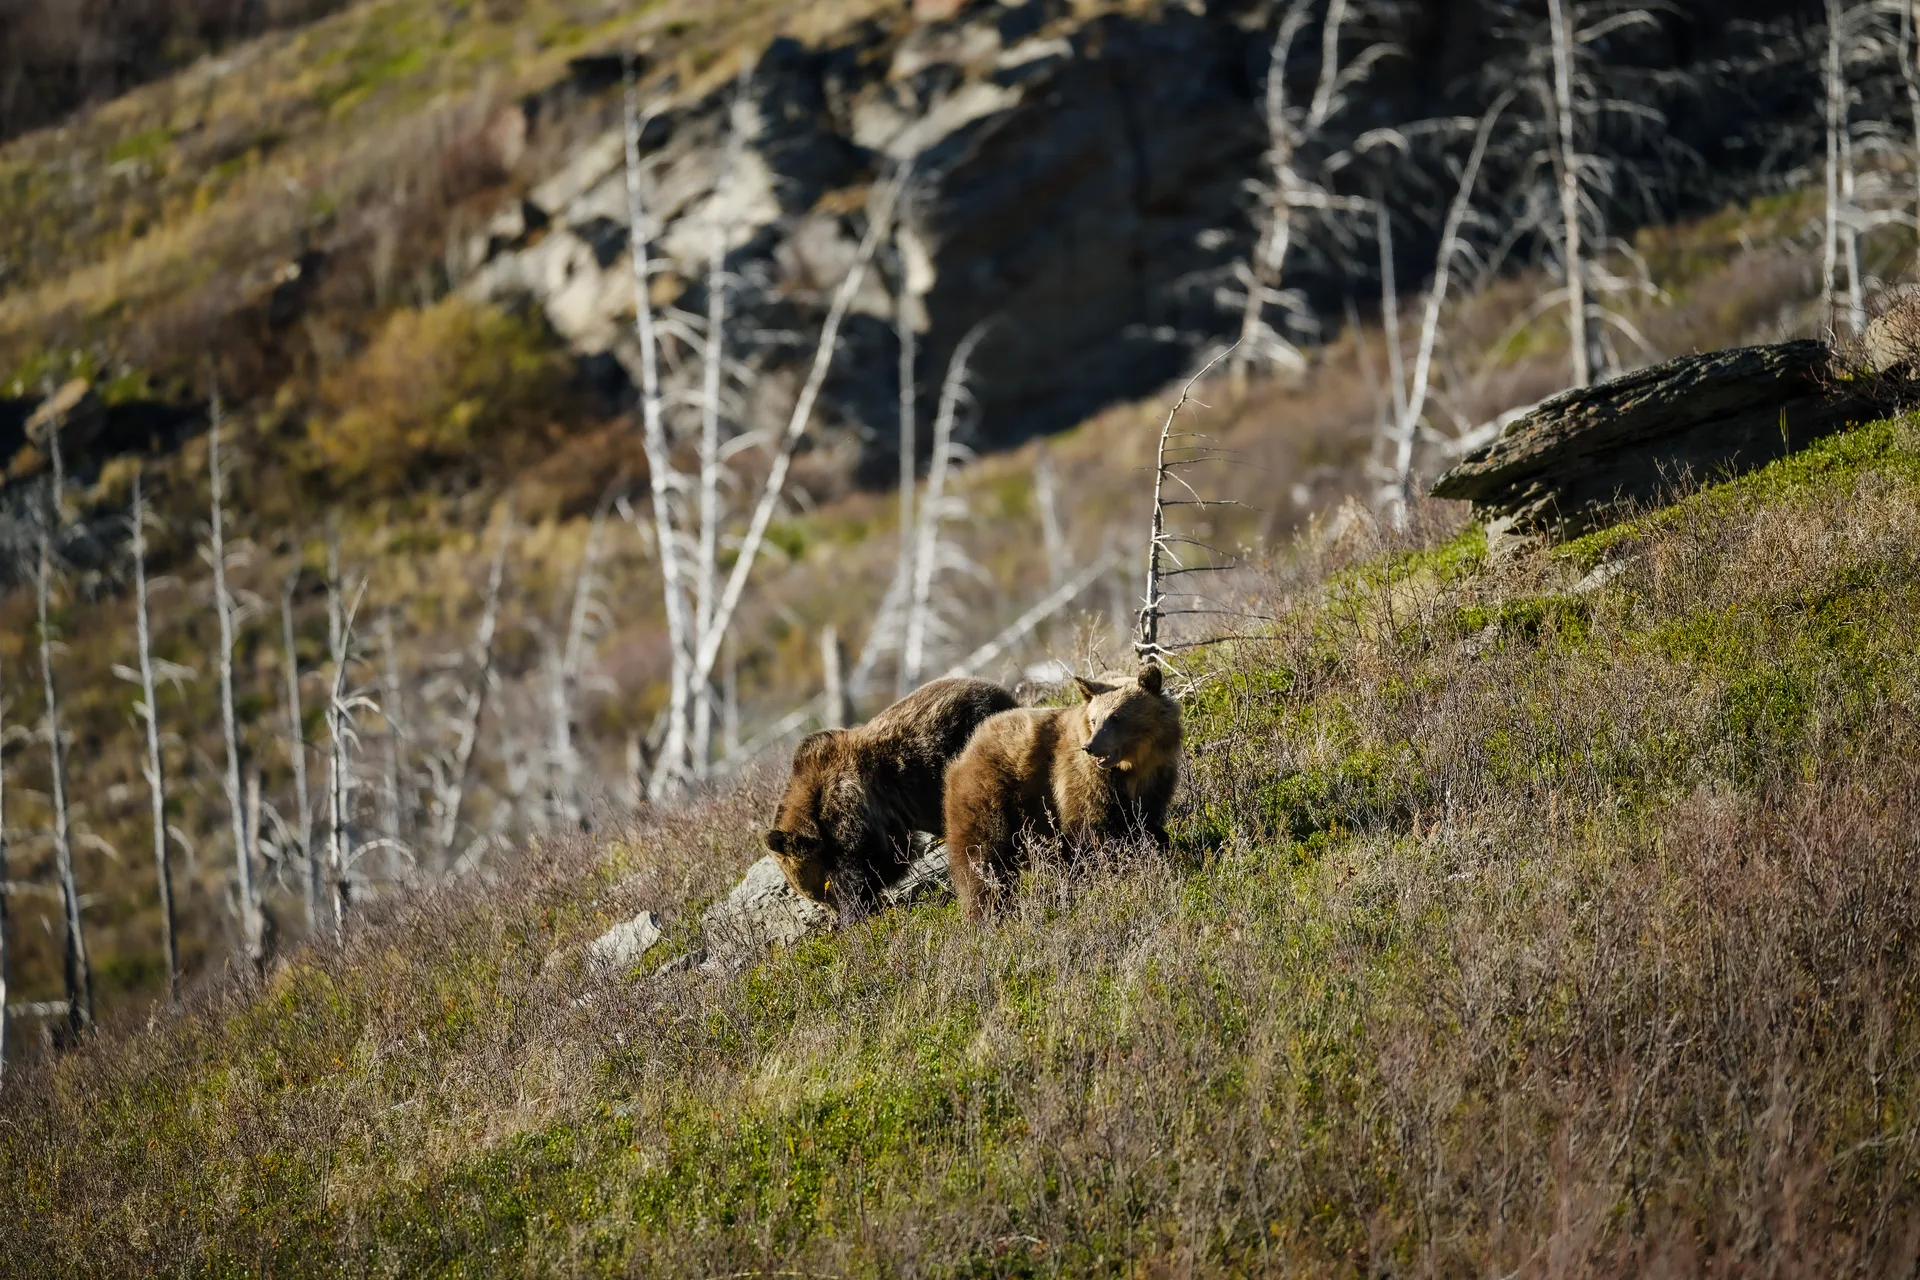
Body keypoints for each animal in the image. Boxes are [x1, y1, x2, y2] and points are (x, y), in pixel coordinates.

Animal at [764, 676, 1017, 910]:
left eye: (818, 893)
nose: (833, 915)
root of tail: (997, 687)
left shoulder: (852, 802)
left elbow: (870, 858)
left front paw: (858, 903)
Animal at [944, 663, 1182, 919]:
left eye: (1116, 717)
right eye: (1094, 719)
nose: (1091, 747)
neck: (1133, 766)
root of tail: (966, 750)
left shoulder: (1156, 780)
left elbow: (1145, 819)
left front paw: (1158, 843)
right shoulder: (1082, 778)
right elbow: (1094, 828)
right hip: (987, 796)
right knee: (983, 857)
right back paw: (991, 910)